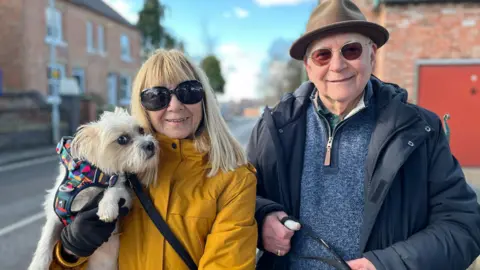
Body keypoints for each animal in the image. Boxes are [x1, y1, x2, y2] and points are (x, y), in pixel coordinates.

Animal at [28, 107, 158, 270]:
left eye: (141, 130)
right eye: (122, 139)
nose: (150, 144)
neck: (91, 175)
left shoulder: (125, 197)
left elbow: (114, 188)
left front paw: (107, 207)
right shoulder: (55, 213)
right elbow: (46, 239)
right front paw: (38, 264)